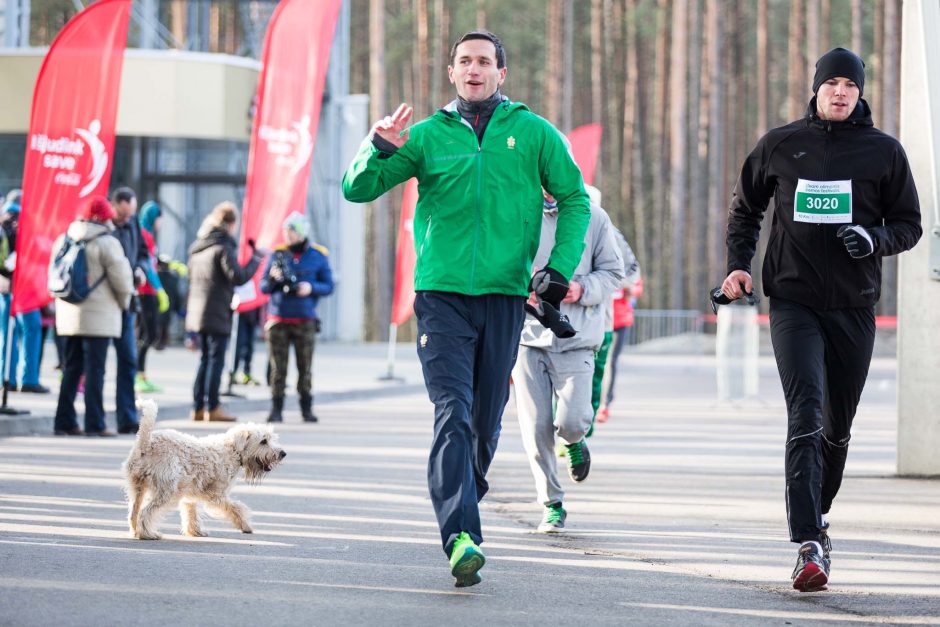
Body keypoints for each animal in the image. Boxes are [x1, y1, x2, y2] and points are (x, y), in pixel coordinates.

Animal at [125, 402, 286, 540]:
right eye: (263, 441)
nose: (283, 453)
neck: (233, 450)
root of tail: (146, 444)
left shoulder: (190, 496)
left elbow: (191, 513)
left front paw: (195, 531)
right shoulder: (216, 495)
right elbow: (235, 508)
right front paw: (245, 525)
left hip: (138, 488)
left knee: (134, 513)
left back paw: (136, 532)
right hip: (167, 492)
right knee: (146, 512)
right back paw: (148, 534)